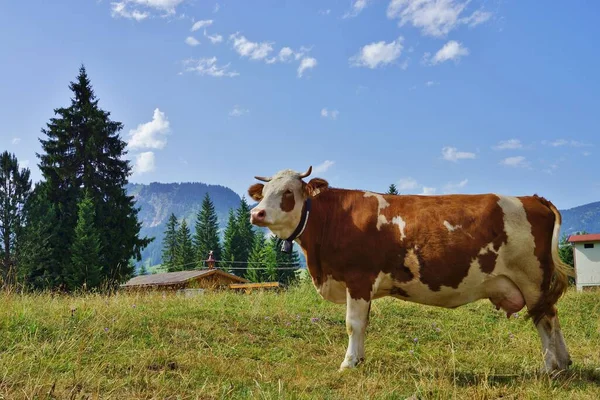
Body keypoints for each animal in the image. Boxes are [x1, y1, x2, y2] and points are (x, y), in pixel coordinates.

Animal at [247, 165, 572, 372]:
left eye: (288, 192)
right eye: (264, 192)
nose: (256, 213)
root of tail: (534, 198)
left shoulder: (358, 278)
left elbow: (353, 323)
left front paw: (348, 364)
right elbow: (363, 324)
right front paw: (359, 360)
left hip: (532, 279)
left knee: (544, 320)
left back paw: (550, 367)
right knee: (551, 317)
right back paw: (564, 364)